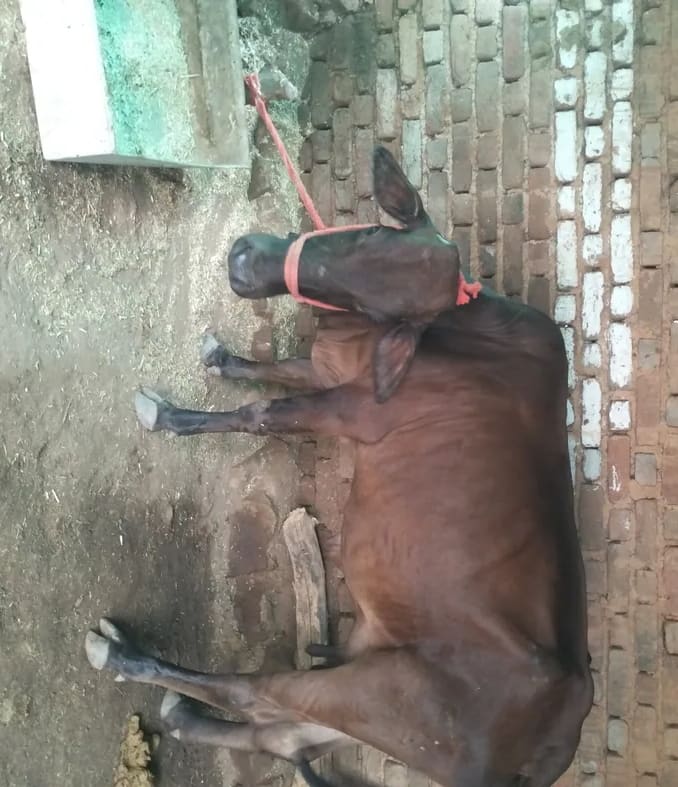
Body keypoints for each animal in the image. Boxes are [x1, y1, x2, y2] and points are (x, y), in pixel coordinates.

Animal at [85, 146, 593, 787]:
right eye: (373, 233)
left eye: (379, 307)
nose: (245, 260)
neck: (468, 329)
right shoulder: (328, 368)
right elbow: (275, 369)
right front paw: (223, 359)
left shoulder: (351, 409)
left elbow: (260, 413)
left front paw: (170, 417)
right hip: (372, 713)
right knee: (279, 733)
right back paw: (181, 714)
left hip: (373, 692)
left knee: (255, 695)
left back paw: (127, 658)